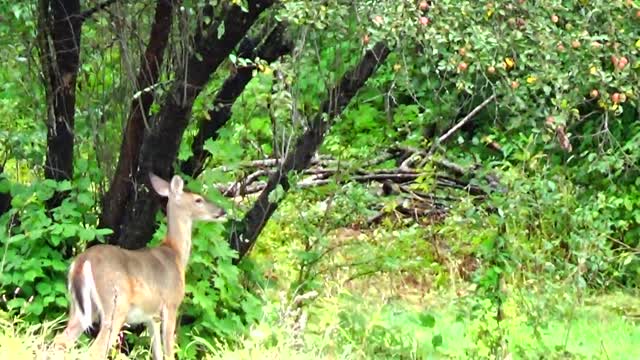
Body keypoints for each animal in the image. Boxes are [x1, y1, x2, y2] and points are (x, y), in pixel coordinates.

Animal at [53, 173, 228, 358]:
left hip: (80, 307)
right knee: (95, 350)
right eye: (198, 199)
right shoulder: (171, 304)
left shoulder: (151, 316)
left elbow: (157, 352)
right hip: (115, 304)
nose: (222, 211)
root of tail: (81, 262)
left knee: (61, 340)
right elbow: (168, 352)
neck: (176, 254)